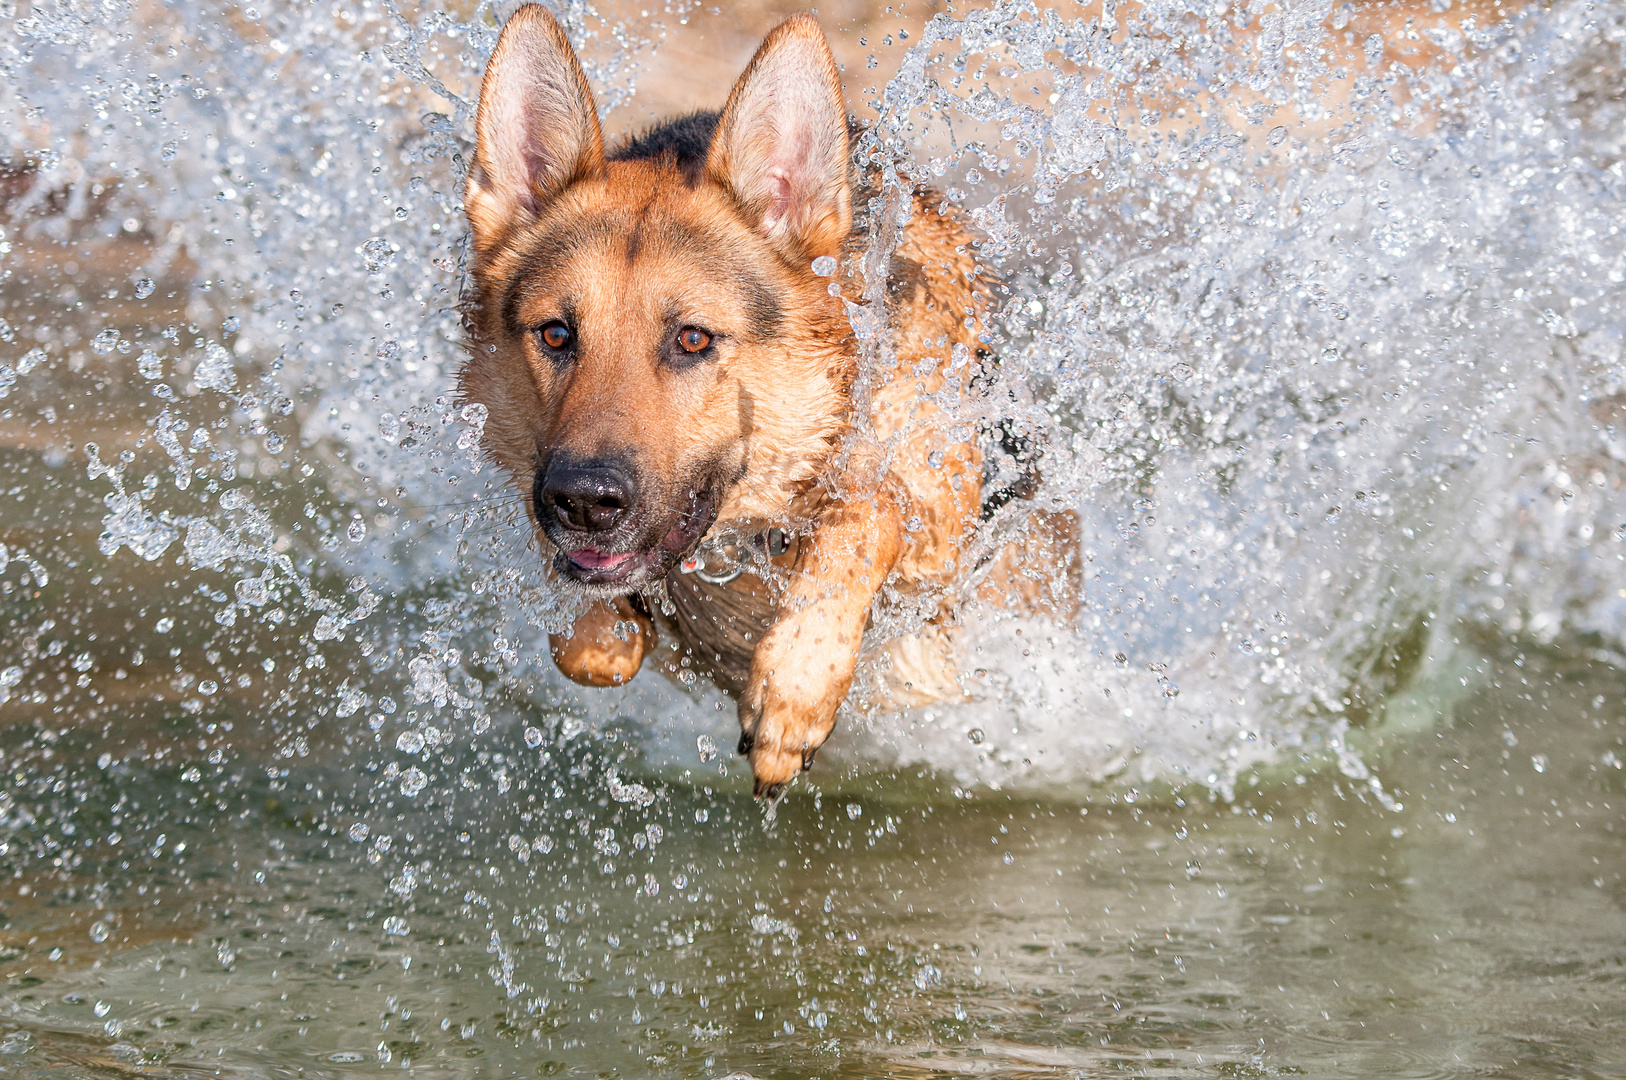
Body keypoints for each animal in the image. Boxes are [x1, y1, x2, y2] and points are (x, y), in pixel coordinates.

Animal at [461, 2, 1066, 793]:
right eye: (557, 335)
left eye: (692, 339)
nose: (583, 502)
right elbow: (591, 652)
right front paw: (607, 628)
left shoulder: (939, 532)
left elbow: (869, 511)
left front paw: (796, 686)